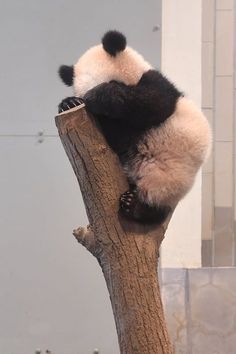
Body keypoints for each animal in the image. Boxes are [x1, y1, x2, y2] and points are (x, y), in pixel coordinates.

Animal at [57, 30, 212, 224]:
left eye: (112, 82)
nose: (93, 104)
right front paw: (69, 103)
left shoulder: (157, 84)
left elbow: (153, 104)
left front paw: (100, 96)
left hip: (168, 175)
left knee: (157, 200)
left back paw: (136, 206)